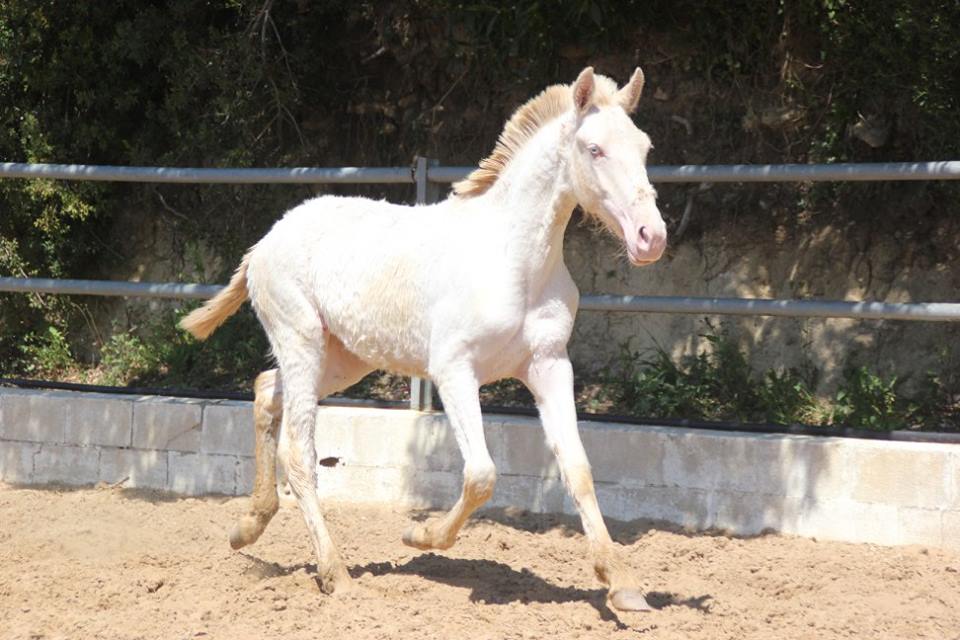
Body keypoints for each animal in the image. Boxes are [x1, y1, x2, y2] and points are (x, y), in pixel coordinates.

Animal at [180, 66, 666, 612]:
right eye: (594, 149)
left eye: (645, 147)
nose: (652, 238)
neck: (514, 259)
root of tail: (264, 242)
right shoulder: (454, 370)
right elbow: (481, 474)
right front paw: (420, 536)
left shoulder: (548, 365)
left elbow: (578, 468)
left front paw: (622, 583)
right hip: (301, 342)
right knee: (299, 453)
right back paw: (336, 575)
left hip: (344, 358)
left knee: (266, 391)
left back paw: (247, 527)